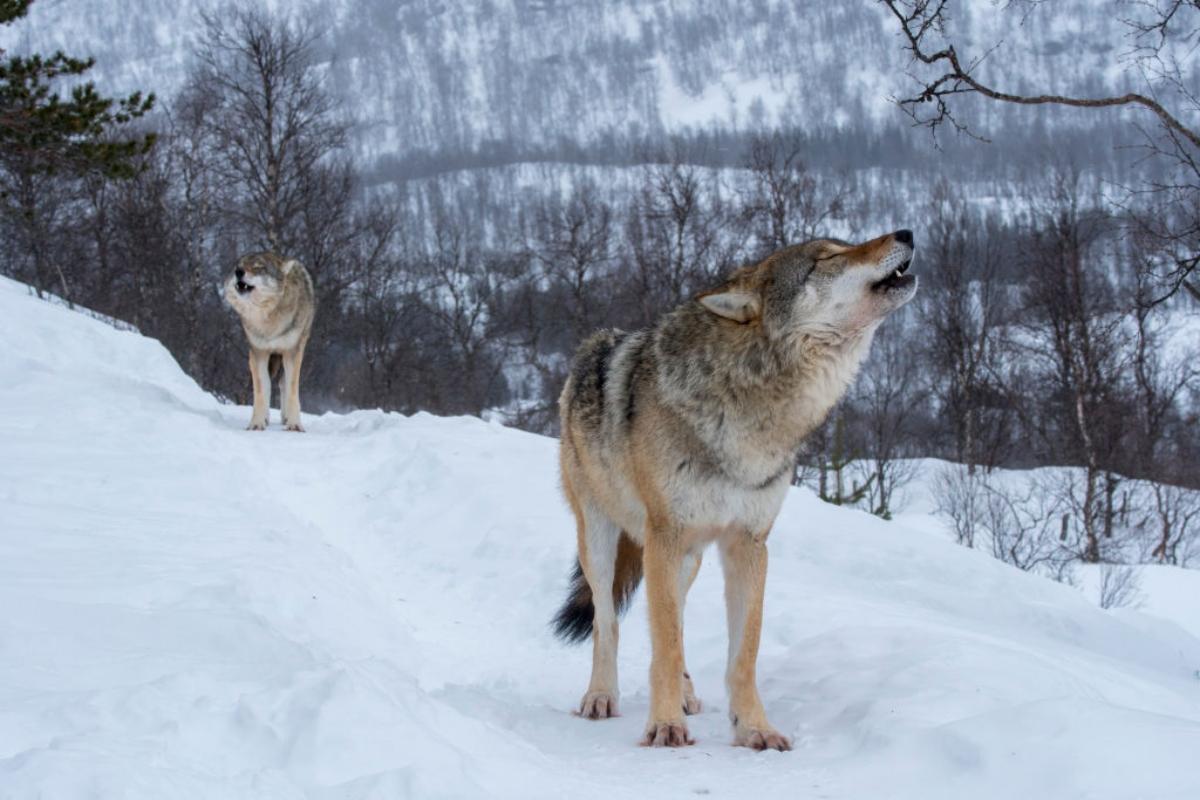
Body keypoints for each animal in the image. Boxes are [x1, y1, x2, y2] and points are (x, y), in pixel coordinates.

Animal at [220, 255, 314, 431]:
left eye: (258, 267)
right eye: (238, 266)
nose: (238, 272)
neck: (268, 319)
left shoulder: (292, 352)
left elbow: (292, 390)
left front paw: (294, 425)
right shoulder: (259, 352)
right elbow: (261, 390)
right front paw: (256, 424)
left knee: (283, 383)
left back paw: (285, 418)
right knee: (268, 383)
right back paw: (266, 418)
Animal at [552, 230, 916, 753]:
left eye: (842, 244)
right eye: (827, 258)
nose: (906, 233)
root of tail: (592, 345)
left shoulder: (749, 543)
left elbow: (741, 653)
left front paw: (754, 728)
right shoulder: (665, 536)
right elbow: (659, 642)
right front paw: (665, 726)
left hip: (686, 560)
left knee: (675, 621)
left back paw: (685, 694)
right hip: (604, 542)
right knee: (609, 619)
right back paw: (601, 696)